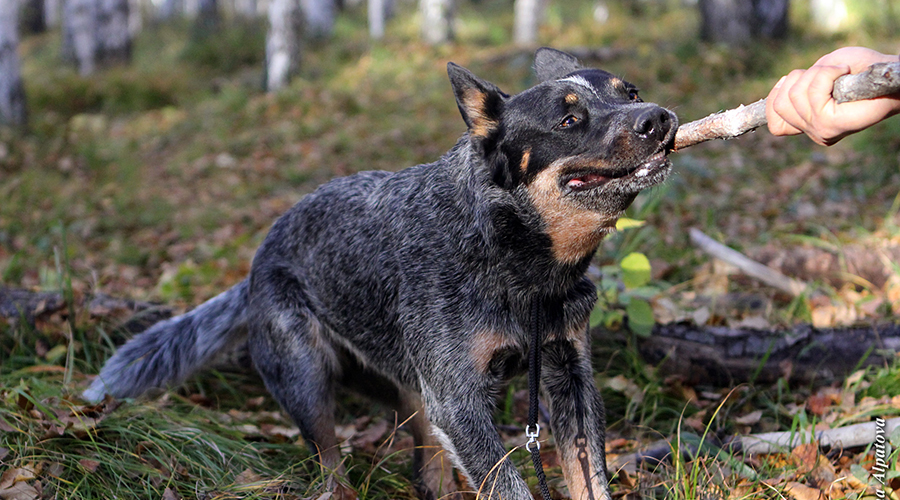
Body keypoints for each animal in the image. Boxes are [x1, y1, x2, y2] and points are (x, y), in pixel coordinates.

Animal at [82, 47, 676, 500]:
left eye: (629, 92)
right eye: (569, 120)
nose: (659, 118)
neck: (523, 268)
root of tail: (258, 260)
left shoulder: (569, 374)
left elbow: (591, 479)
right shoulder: (458, 400)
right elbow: (508, 484)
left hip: (409, 390)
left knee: (428, 468)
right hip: (307, 379)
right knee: (330, 465)